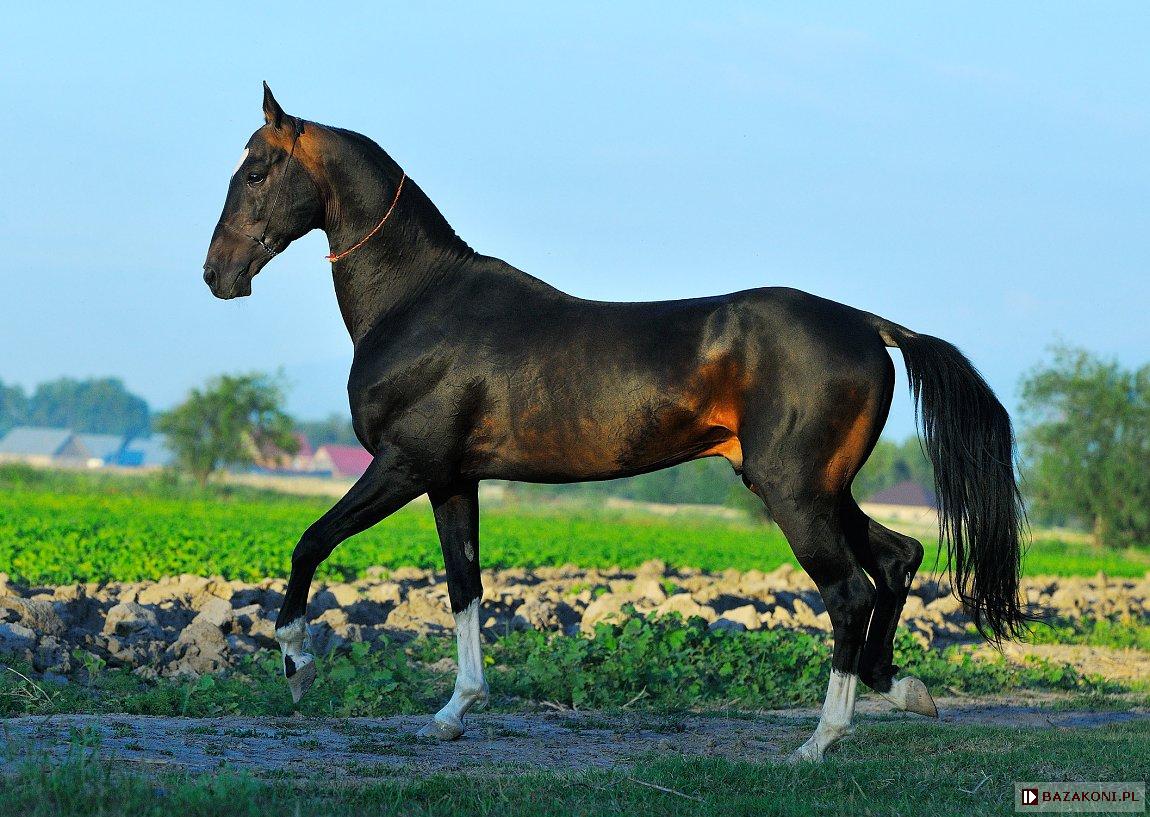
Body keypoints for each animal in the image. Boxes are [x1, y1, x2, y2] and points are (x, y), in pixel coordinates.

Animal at [200, 86, 1025, 764]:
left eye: (257, 171)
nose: (218, 275)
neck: (420, 299)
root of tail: (868, 326)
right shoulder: (452, 479)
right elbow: (465, 585)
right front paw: (454, 710)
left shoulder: (403, 465)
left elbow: (311, 542)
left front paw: (296, 664)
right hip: (817, 488)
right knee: (897, 557)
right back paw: (902, 688)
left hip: (794, 492)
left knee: (851, 592)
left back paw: (819, 740)